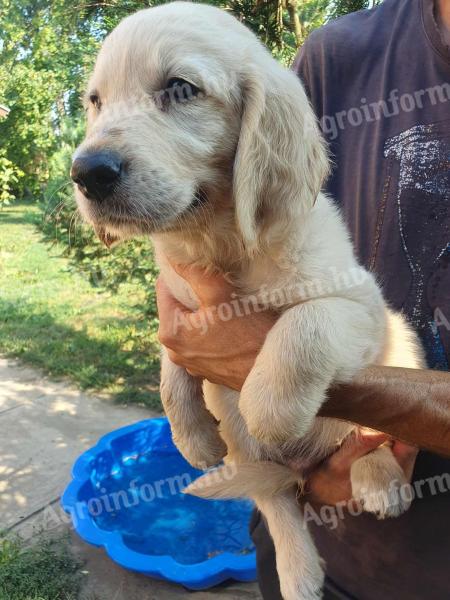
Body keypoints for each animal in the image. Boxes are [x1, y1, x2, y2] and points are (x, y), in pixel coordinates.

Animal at [71, 3, 426, 596]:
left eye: (180, 89)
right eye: (96, 101)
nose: (86, 172)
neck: (222, 245)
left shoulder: (361, 302)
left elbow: (304, 325)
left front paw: (271, 412)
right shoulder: (180, 312)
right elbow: (169, 369)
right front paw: (191, 437)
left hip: (402, 340)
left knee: (367, 438)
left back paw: (378, 478)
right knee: (274, 497)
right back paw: (299, 572)